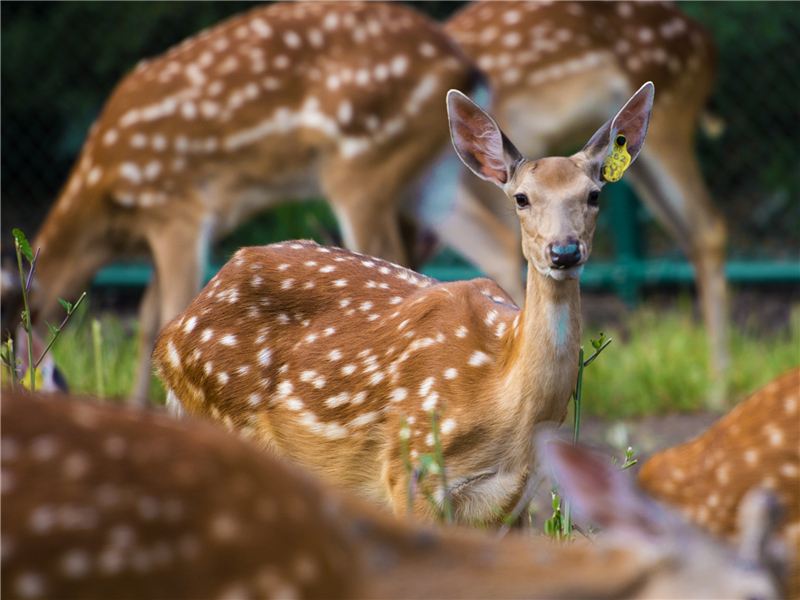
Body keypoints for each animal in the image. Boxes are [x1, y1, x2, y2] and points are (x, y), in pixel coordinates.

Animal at [5, 1, 483, 407]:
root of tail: (465, 66)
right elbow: (146, 316)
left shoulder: (177, 210)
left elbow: (166, 311)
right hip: (431, 180)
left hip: (360, 164)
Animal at [154, 82, 656, 524]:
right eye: (521, 198)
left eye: (593, 195)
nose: (564, 252)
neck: (505, 400)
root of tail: (172, 334)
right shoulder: (409, 470)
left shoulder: (515, 499)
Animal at [441, 1, 730, 392]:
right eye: (521, 198)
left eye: (594, 195)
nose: (564, 252)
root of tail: (707, 40)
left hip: (670, 117)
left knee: (708, 227)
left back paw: (718, 386)